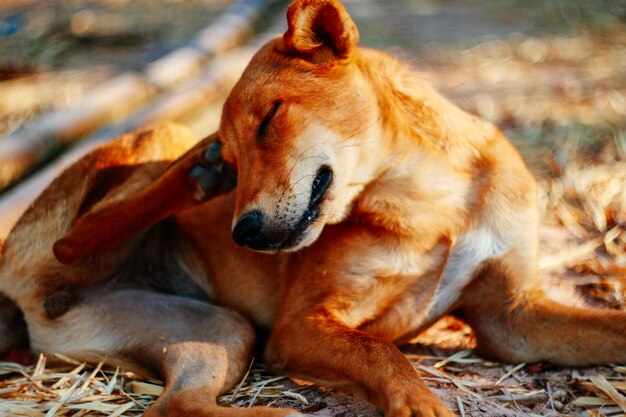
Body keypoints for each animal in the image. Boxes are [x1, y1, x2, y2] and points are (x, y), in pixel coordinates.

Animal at [1, 0, 624, 416]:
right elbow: (382, 354)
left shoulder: (513, 318)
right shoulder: (301, 324)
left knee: (179, 407)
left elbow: (610, 327)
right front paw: (419, 403)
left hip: (219, 331)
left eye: (270, 119)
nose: (245, 233)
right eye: (236, 158)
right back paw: (194, 176)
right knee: (73, 238)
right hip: (161, 143)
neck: (438, 207)